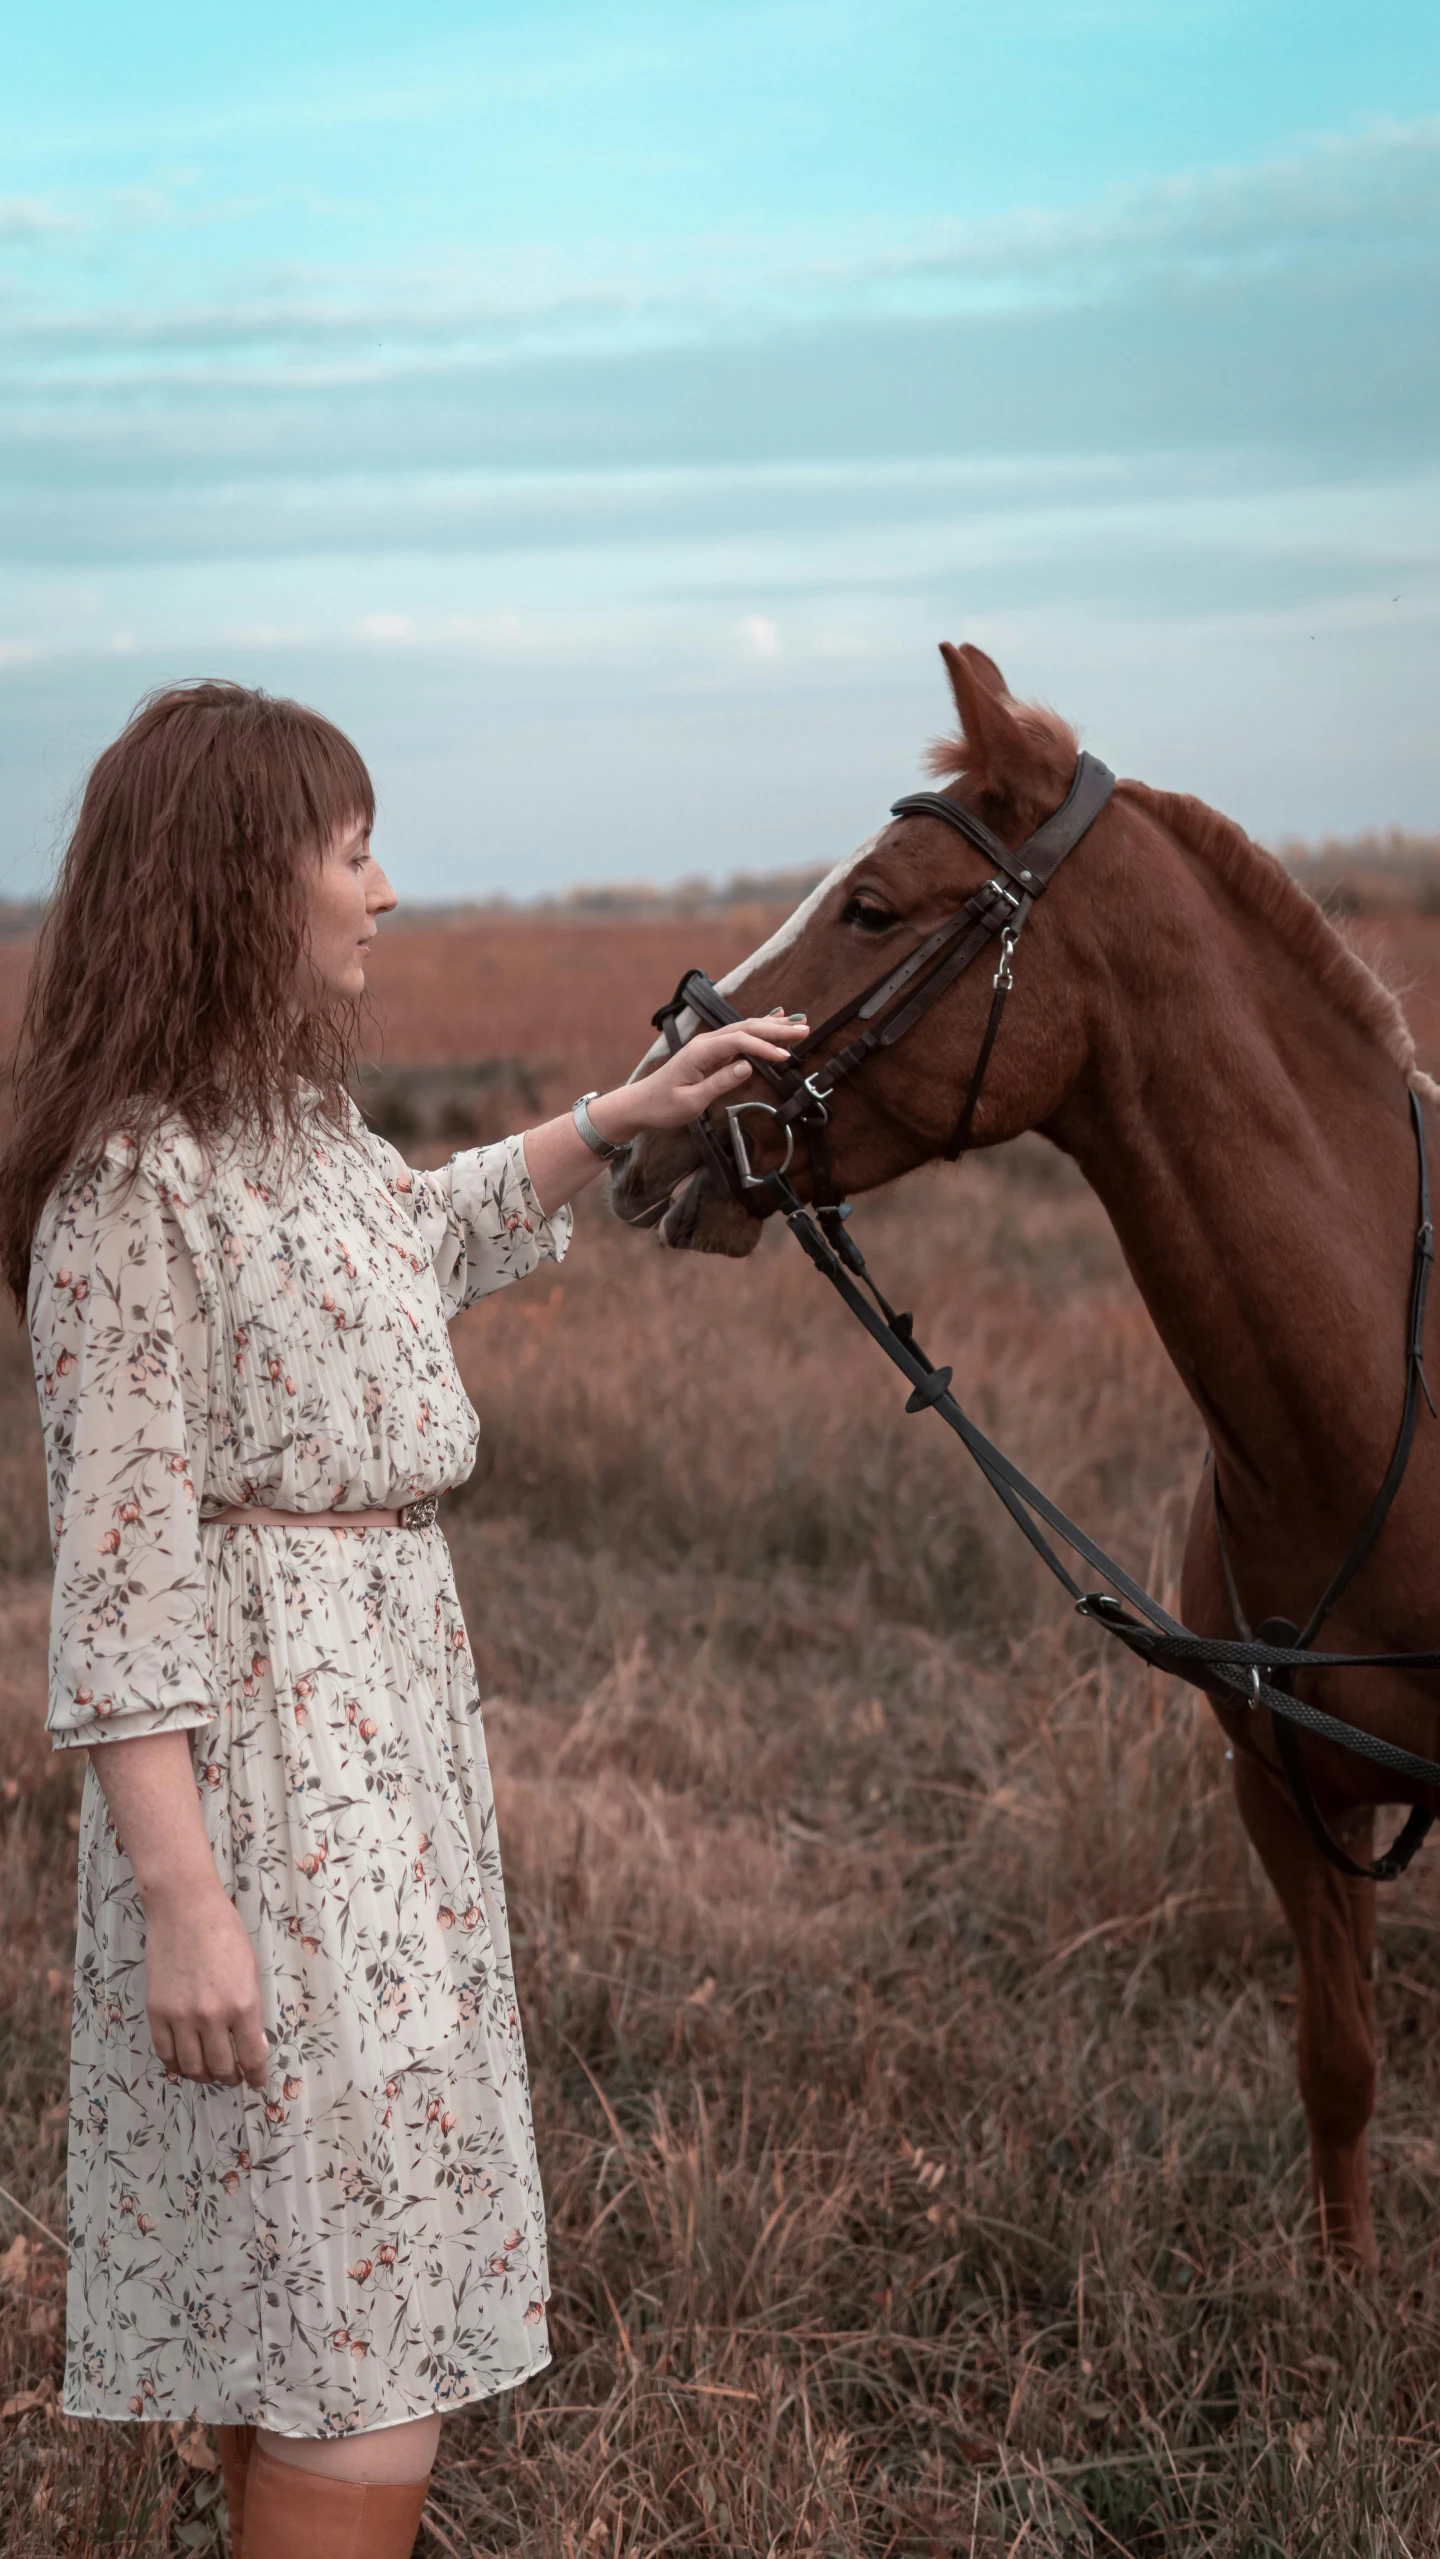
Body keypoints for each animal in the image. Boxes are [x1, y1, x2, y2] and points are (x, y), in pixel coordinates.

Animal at [611, 639, 1440, 2262]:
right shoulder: (1282, 1794)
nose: (636, 1126)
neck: (1378, 1410)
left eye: (874, 905)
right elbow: (1339, 2066)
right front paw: (1343, 2293)